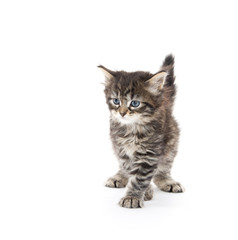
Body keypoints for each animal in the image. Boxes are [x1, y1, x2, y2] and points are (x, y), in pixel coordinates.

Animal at [98, 54, 184, 208]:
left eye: (135, 103)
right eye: (116, 101)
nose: (122, 113)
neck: (133, 128)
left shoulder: (150, 153)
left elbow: (140, 178)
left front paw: (132, 197)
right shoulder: (122, 150)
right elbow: (131, 171)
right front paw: (144, 192)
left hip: (172, 141)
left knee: (164, 166)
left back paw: (166, 180)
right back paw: (119, 176)